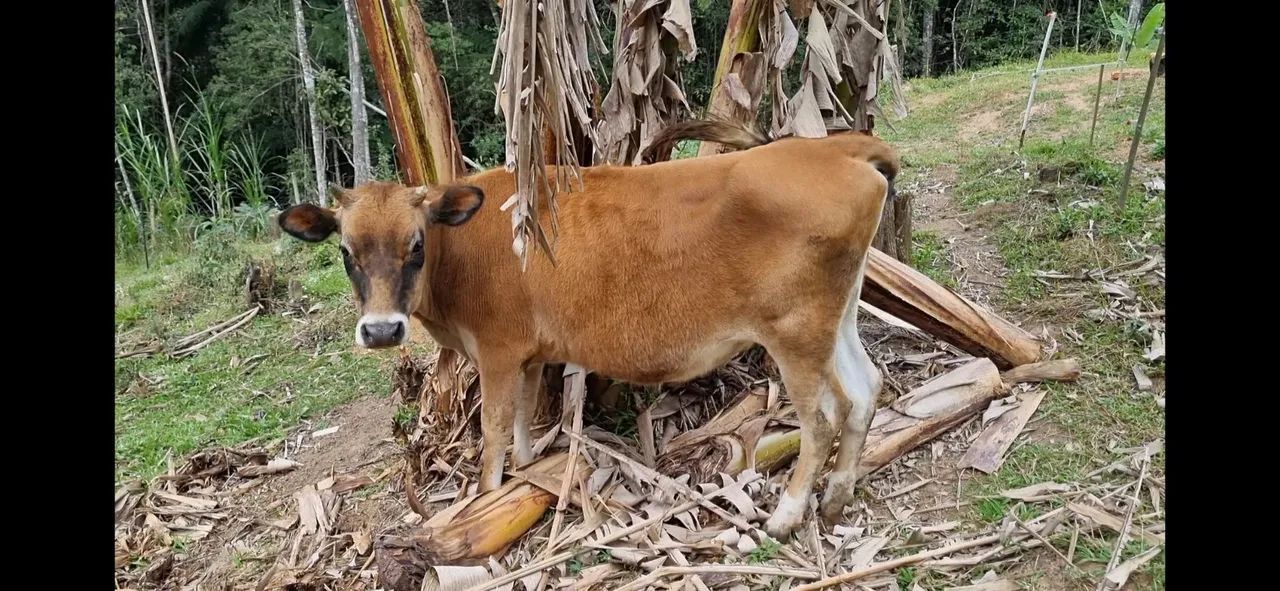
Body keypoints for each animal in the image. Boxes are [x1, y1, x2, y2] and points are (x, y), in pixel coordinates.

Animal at [276, 120, 900, 538]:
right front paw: (526, 476)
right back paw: (837, 499)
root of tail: (835, 144)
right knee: (866, 387)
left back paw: (786, 516)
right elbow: (524, 423)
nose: (381, 331)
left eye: (416, 245)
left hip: (795, 333)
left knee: (823, 417)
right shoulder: (529, 355)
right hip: (836, 318)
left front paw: (485, 502)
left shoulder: (498, 350)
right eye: (346, 251)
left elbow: (494, 430)